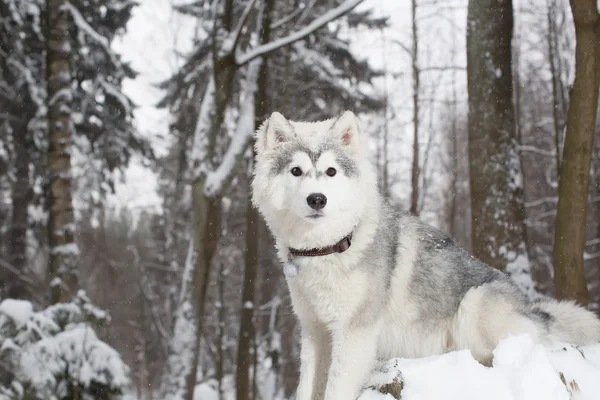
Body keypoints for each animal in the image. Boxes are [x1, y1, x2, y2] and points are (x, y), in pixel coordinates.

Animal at [250, 111, 600, 400]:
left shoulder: (353, 335)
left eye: (331, 171)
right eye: (296, 171)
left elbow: (337, 390)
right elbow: (306, 388)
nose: (317, 199)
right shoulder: (315, 332)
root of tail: (533, 309)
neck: (330, 247)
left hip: (474, 305)